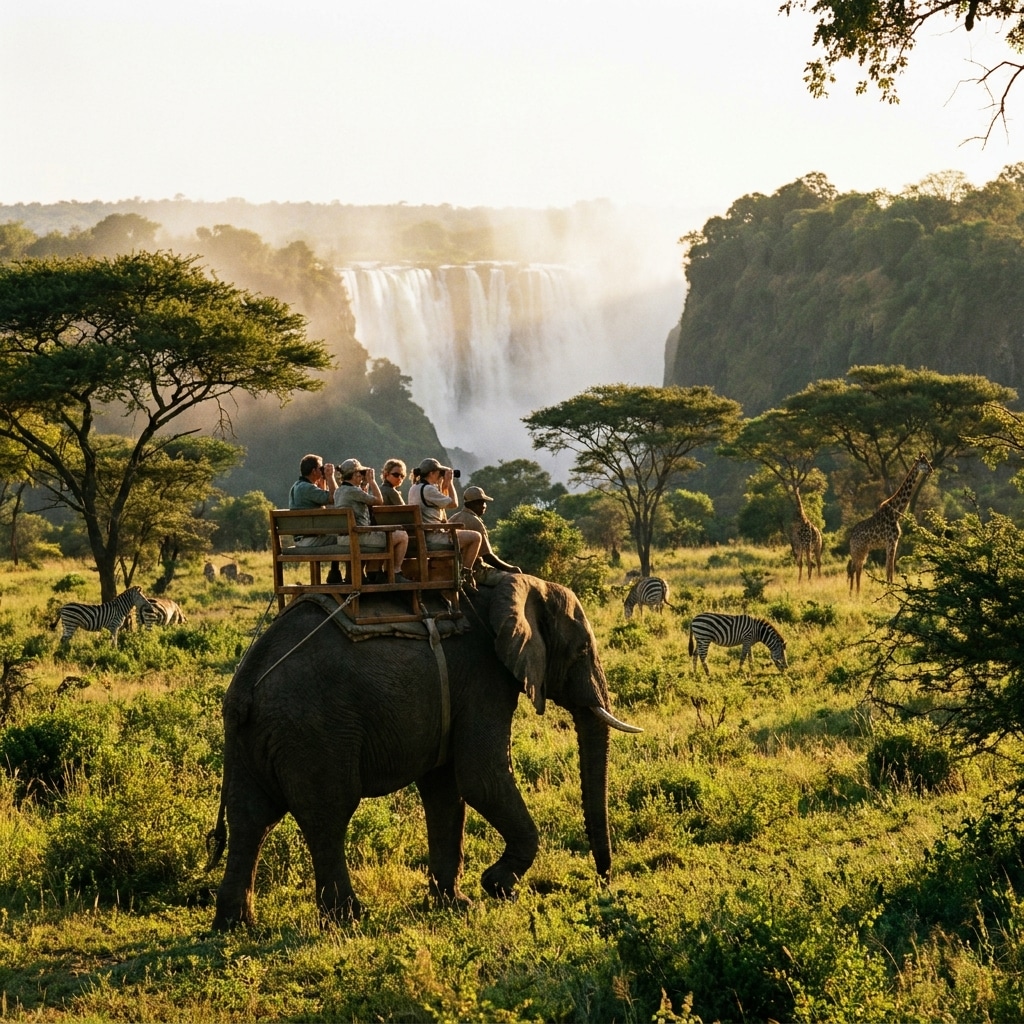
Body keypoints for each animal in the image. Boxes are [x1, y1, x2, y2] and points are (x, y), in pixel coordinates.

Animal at [207, 572, 640, 930]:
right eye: (582, 650)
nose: (603, 881)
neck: (512, 583)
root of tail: (246, 685)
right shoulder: (483, 676)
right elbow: (481, 777)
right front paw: (498, 887)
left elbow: (445, 789)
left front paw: (457, 903)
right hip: (314, 732)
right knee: (327, 815)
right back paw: (350, 919)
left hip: (251, 739)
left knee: (250, 818)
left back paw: (234, 926)